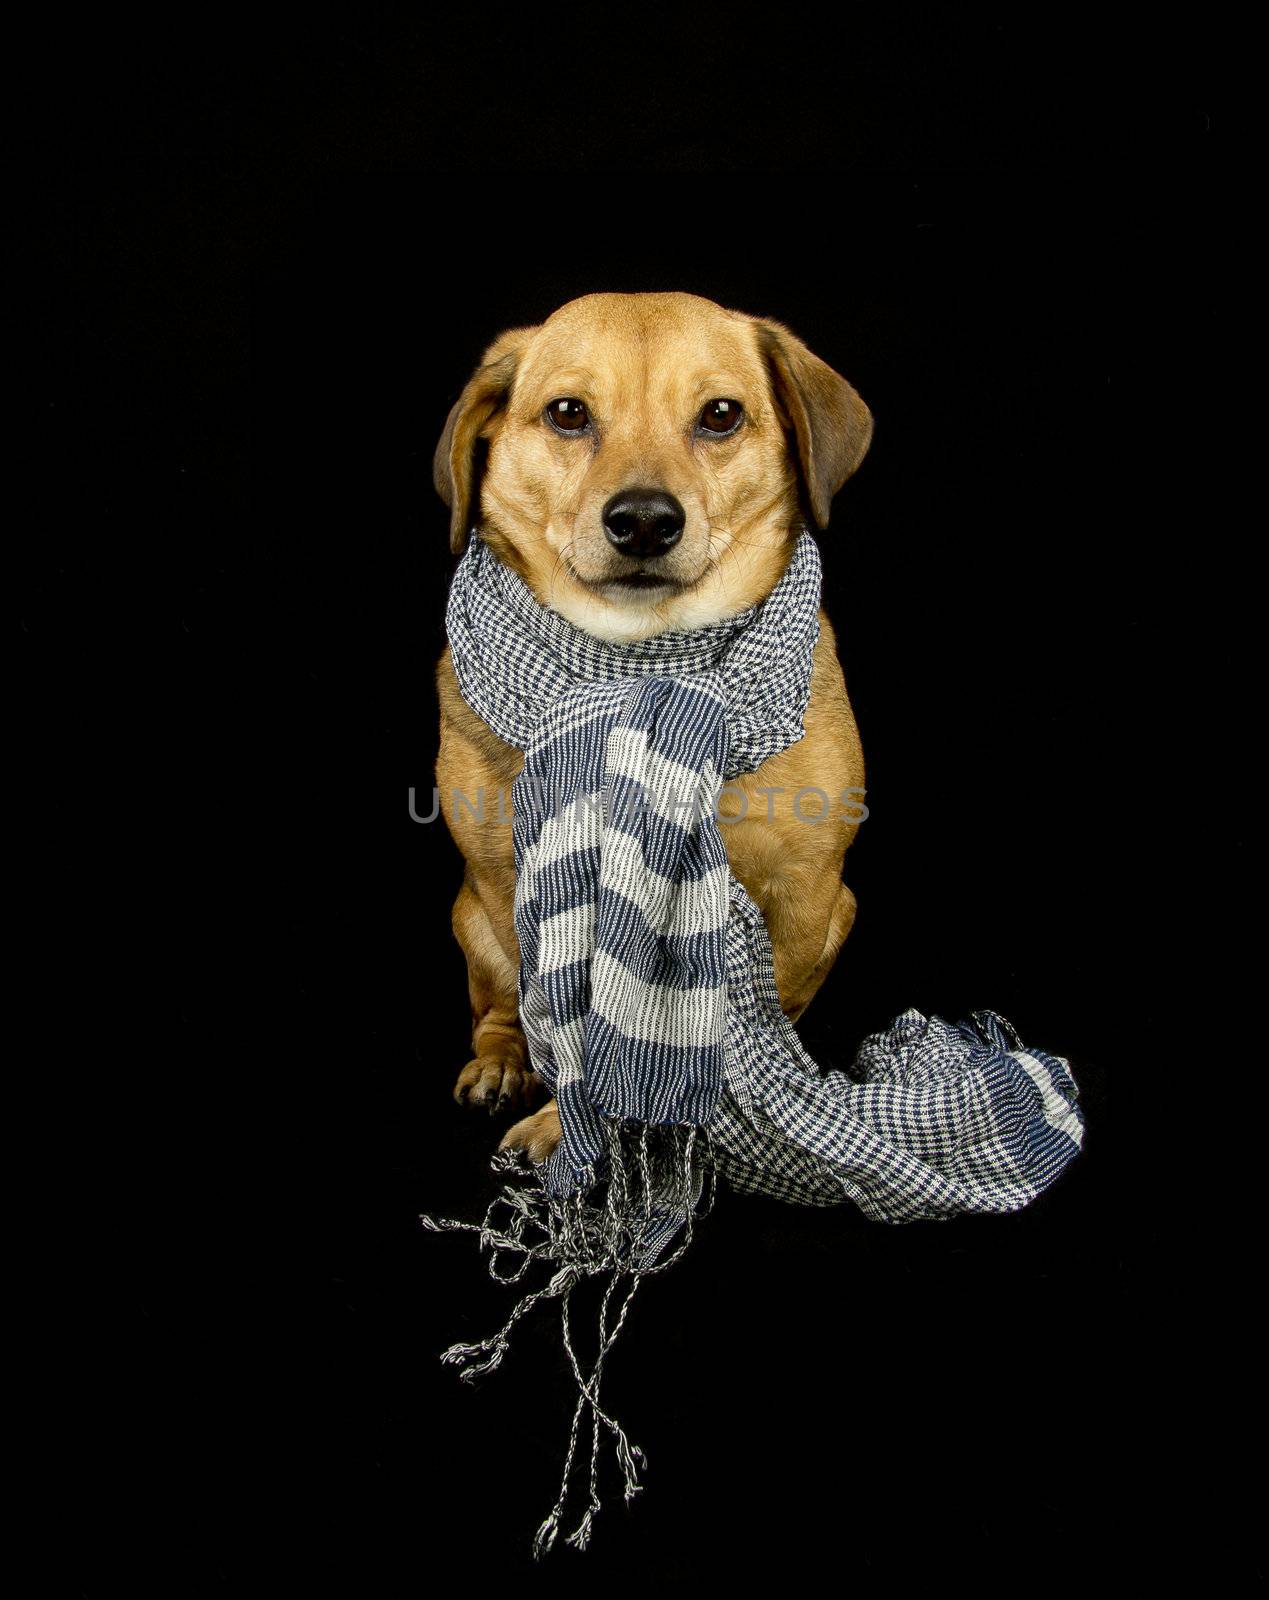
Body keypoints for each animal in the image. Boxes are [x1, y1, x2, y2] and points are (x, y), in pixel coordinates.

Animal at [435, 291, 870, 1164]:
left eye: (720, 415)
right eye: (568, 413)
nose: (641, 521)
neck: (643, 668)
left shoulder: (808, 891)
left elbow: (752, 1028)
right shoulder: (509, 884)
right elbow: (560, 1027)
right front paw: (566, 1123)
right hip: (474, 915)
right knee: (497, 1004)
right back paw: (500, 1061)